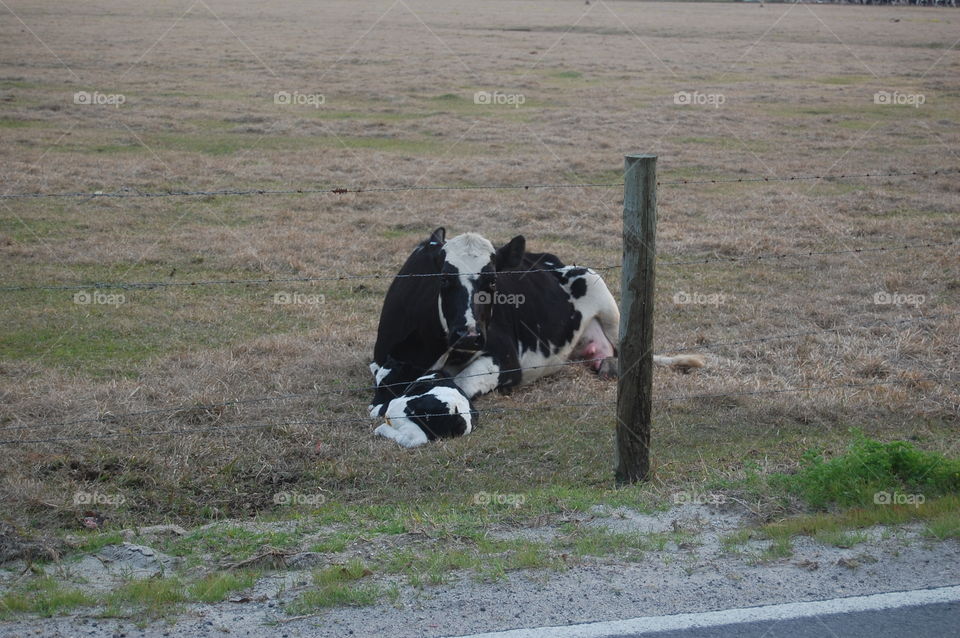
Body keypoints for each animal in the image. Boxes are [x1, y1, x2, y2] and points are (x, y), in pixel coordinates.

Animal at [369, 227, 703, 411]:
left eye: (492, 281)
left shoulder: (506, 358)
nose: (469, 335)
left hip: (604, 298)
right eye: (443, 280)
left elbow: (460, 383)